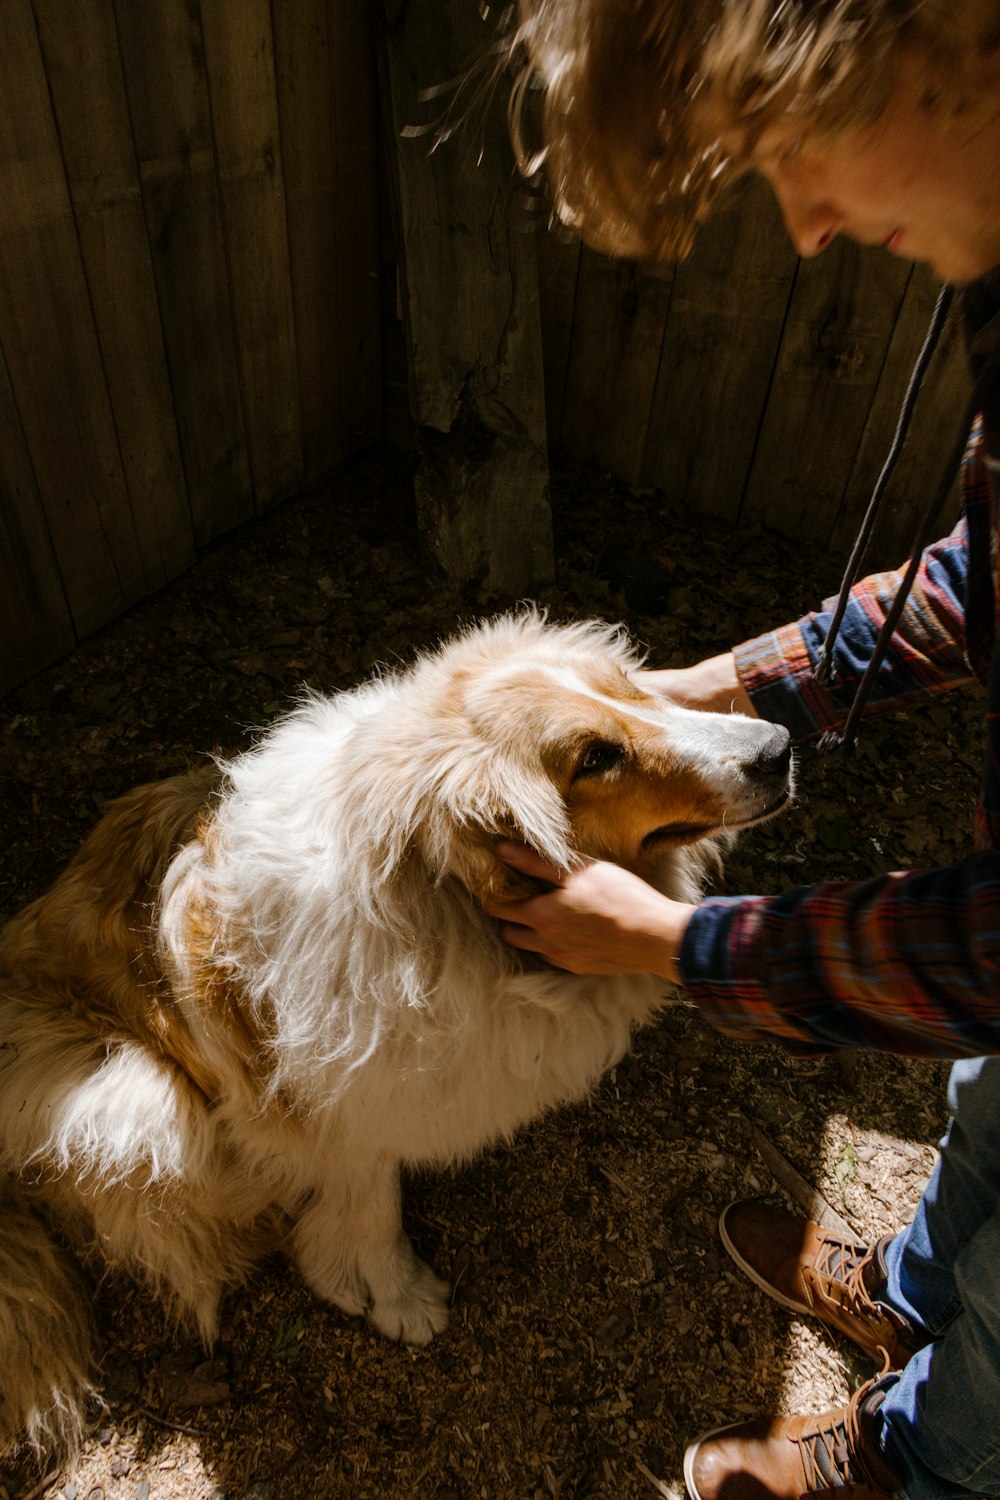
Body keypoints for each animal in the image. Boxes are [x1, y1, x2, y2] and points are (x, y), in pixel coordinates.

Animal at [1, 609, 797, 1452]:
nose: (779, 747)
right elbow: (371, 1198)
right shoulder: (336, 1098)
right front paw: (391, 1290)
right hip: (128, 1096)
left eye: (631, 690)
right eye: (597, 757)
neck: (434, 894)